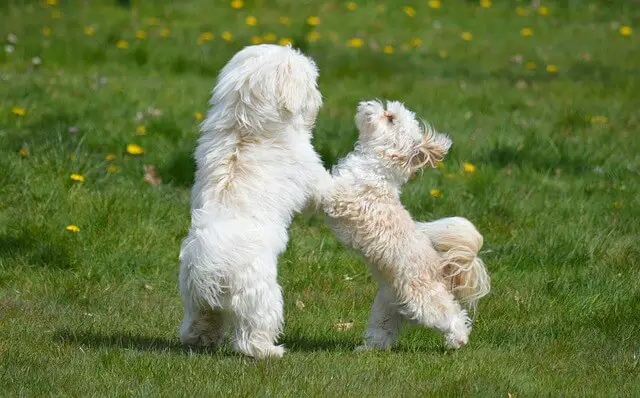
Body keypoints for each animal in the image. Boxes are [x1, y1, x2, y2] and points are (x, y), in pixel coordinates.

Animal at [180, 44, 330, 358]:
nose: (318, 98)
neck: (245, 125)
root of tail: (210, 264)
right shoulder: (311, 175)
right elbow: (327, 188)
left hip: (196, 300)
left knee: (200, 324)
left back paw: (200, 341)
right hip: (260, 297)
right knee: (251, 334)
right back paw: (270, 351)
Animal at [322, 100, 492, 352]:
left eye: (390, 117)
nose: (368, 104)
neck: (378, 166)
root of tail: (440, 268)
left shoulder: (345, 196)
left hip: (425, 302)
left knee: (453, 315)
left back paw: (457, 339)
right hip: (385, 308)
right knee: (382, 333)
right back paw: (368, 349)